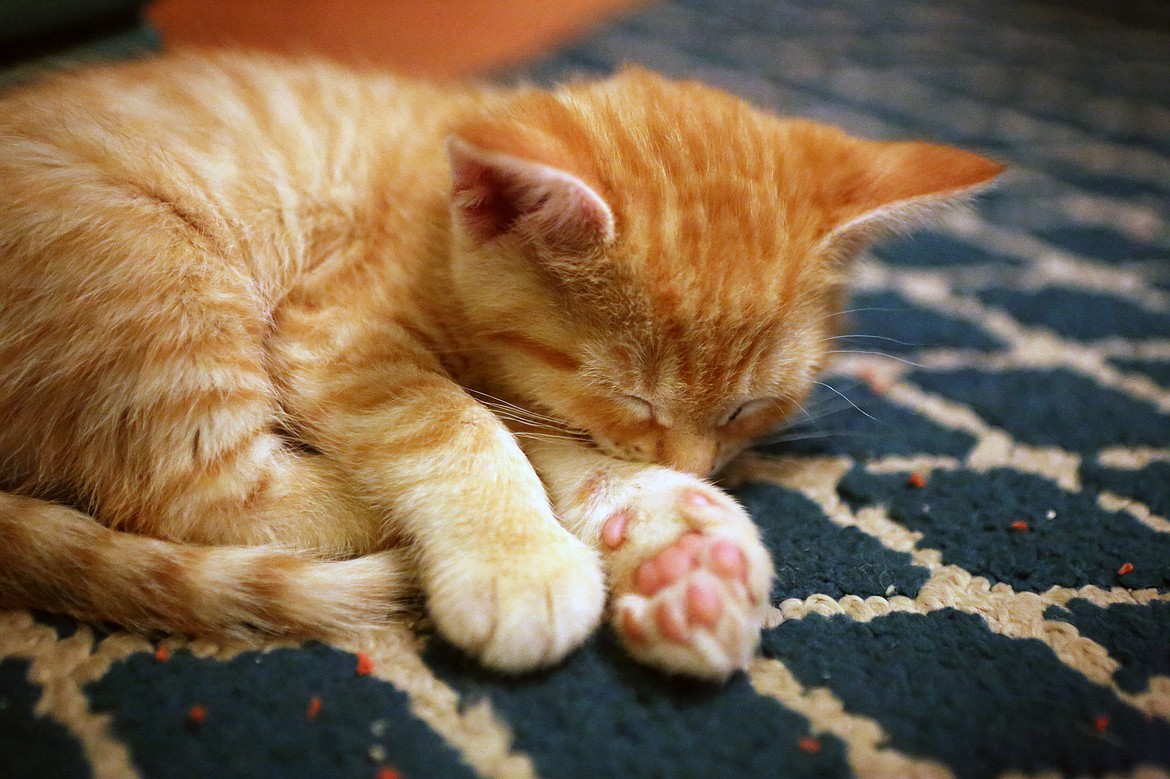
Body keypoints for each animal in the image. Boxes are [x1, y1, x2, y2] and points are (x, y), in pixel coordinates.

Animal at [0, 51, 1006, 678]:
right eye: (631, 395)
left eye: (746, 410)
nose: (692, 466)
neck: (432, 202)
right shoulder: (339, 331)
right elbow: (457, 422)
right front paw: (521, 560)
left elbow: (526, 424)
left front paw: (667, 537)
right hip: (159, 274)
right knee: (202, 496)